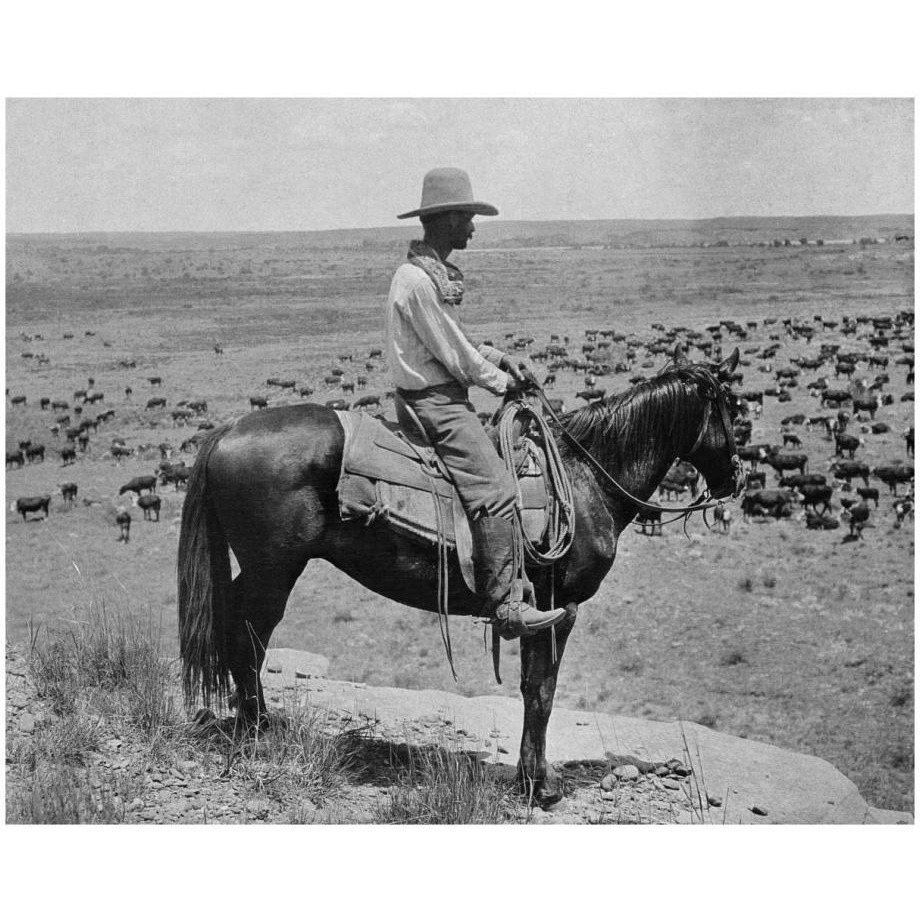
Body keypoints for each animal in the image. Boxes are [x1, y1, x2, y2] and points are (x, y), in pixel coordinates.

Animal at [178, 344, 740, 804]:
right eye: (731, 408)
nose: (735, 478)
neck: (586, 479)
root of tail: (228, 430)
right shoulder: (559, 608)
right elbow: (542, 692)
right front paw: (539, 787)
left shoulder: (540, 610)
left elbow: (531, 689)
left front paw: (530, 777)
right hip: (274, 571)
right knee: (248, 636)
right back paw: (258, 730)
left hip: (260, 570)